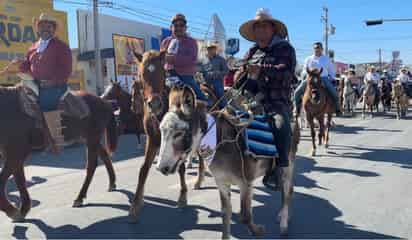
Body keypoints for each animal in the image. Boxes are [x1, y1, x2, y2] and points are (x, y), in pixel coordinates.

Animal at [0, 86, 119, 221]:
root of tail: (104, 102)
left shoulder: (16, 153)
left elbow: (5, 181)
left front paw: (12, 211)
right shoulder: (12, 154)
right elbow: (19, 179)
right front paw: (23, 209)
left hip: (92, 137)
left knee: (91, 166)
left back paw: (80, 198)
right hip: (89, 138)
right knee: (104, 156)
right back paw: (111, 183)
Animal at [128, 49, 205, 222]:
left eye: (162, 72)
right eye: (141, 75)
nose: (155, 104)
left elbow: (180, 167)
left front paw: (182, 197)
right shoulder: (153, 140)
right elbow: (144, 168)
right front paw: (136, 205)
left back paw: (198, 179)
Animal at [156, 86, 300, 238]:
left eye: (179, 133)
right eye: (161, 130)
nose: (161, 168)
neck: (219, 141)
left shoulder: (246, 183)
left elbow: (245, 216)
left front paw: (257, 231)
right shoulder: (222, 183)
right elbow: (226, 213)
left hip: (288, 164)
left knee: (288, 191)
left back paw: (284, 224)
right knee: (287, 190)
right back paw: (283, 216)